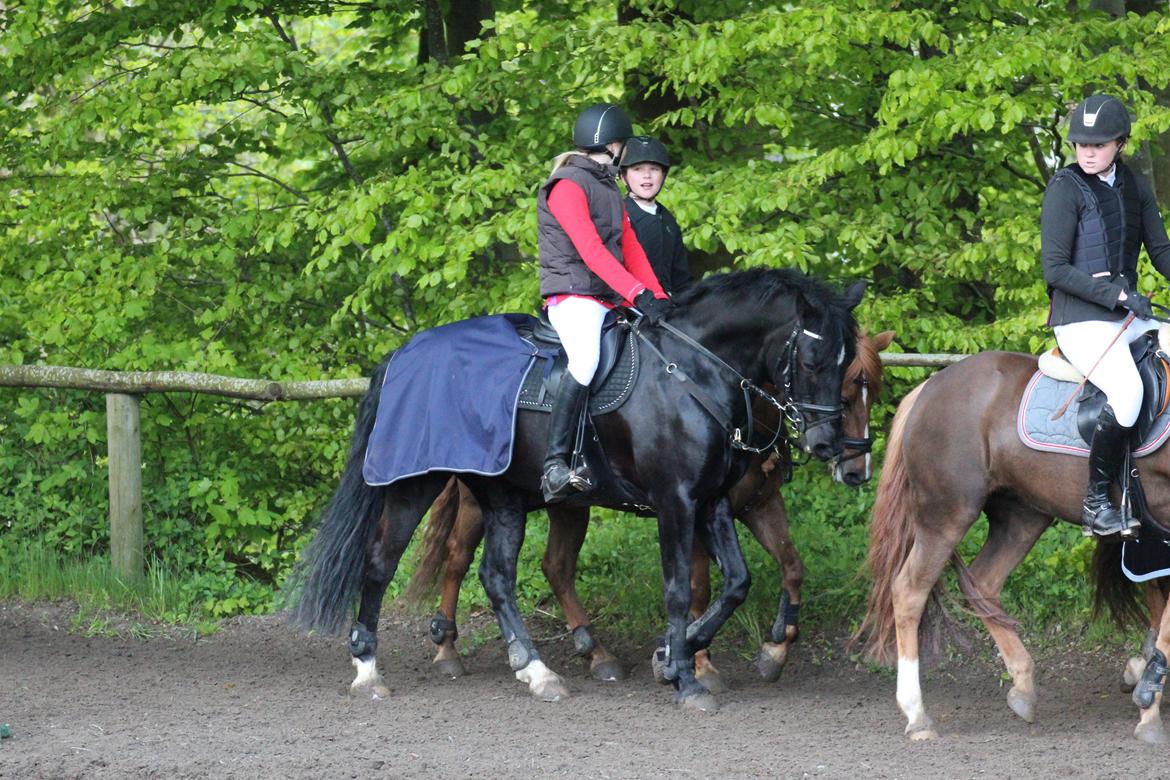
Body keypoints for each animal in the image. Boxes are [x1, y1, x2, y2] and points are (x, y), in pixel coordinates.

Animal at [407, 329, 889, 687]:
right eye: (844, 393)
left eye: (873, 393)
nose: (856, 470)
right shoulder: (690, 510)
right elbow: (699, 588)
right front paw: (695, 660)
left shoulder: (759, 505)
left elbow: (791, 566)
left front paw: (775, 649)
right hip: (482, 499)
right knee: (458, 558)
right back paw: (447, 647)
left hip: (569, 505)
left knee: (556, 567)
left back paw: (596, 653)